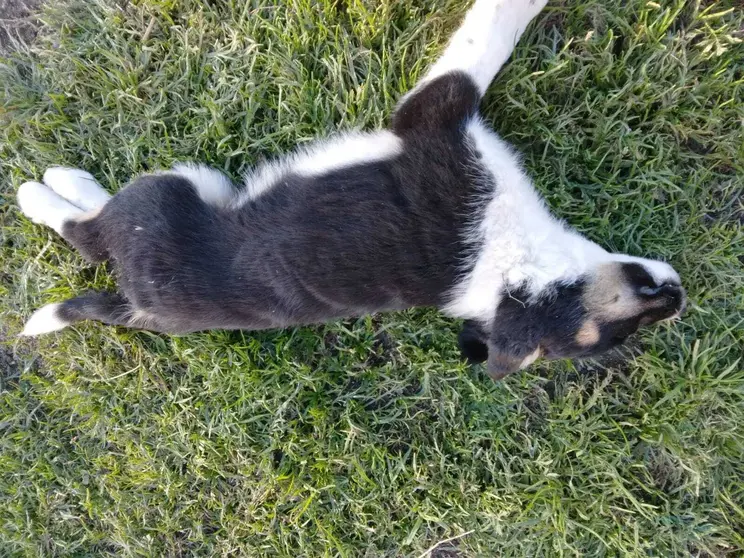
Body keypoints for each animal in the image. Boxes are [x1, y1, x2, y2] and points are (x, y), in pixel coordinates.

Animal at [16, 0, 684, 380]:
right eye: (638, 313)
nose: (680, 296)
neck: (511, 272)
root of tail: (134, 304)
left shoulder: (439, 114)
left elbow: (490, 33)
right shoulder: (442, 115)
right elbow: (494, 32)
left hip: (169, 193)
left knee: (88, 231)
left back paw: (47, 188)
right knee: (88, 232)